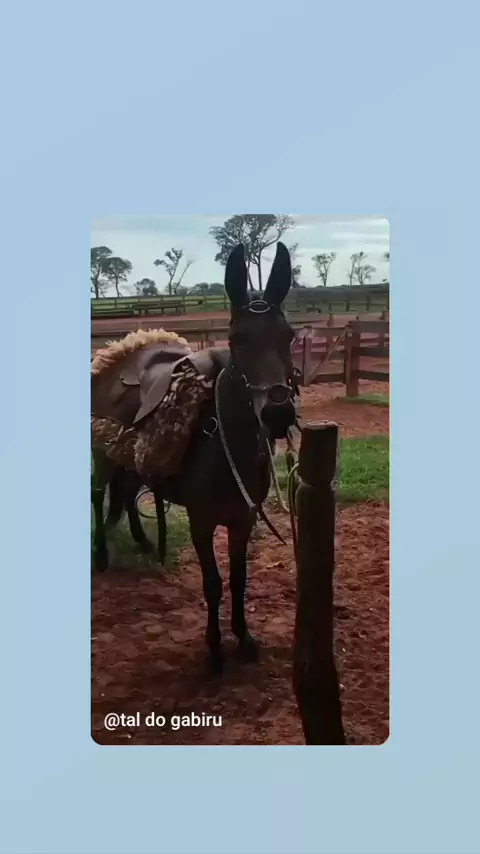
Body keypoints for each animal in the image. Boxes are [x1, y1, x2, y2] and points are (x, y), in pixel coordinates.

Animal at [91, 241, 298, 674]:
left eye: (288, 335)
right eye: (236, 338)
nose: (278, 414)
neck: (224, 446)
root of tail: (115, 352)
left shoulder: (242, 520)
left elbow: (238, 579)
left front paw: (244, 638)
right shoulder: (203, 523)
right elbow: (213, 583)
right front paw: (215, 649)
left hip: (133, 459)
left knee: (128, 495)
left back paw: (144, 542)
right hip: (101, 455)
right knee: (98, 496)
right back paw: (100, 554)